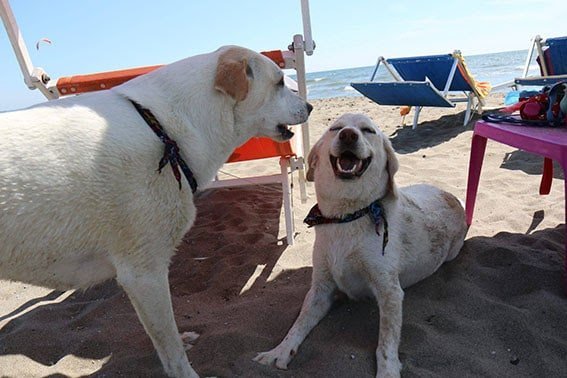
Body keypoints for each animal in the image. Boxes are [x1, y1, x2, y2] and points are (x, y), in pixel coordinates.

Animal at [0, 45, 312, 378]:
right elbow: (170, 347)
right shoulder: (143, 273)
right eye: (279, 82)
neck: (164, 130)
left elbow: (163, 336)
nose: (309, 106)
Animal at [255, 114, 468, 378]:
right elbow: (298, 324)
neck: (347, 217)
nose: (348, 134)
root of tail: (453, 198)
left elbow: (386, 342)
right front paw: (279, 352)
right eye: (335, 128)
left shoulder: (390, 292)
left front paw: (387, 372)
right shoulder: (320, 288)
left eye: (368, 131)